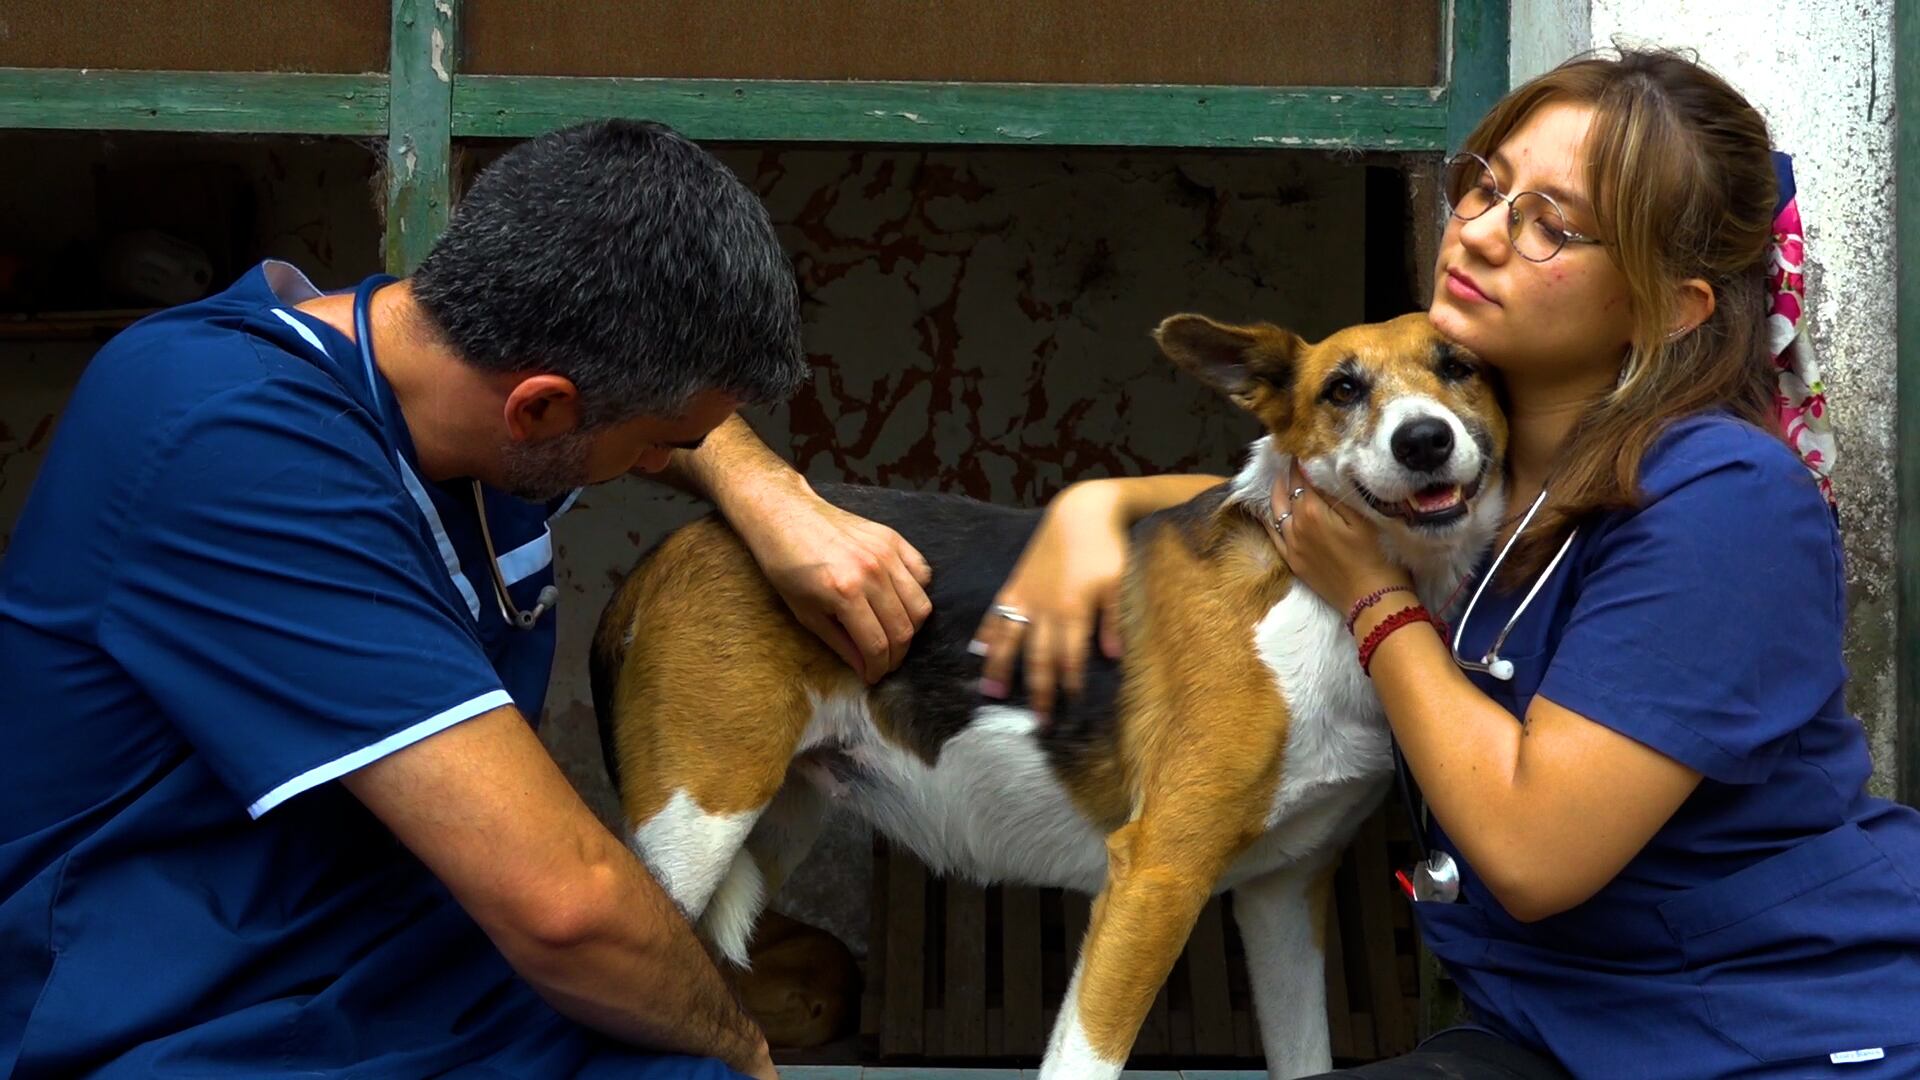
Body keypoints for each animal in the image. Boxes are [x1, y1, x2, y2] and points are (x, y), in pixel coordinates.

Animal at [591, 311, 1505, 1076]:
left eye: (1459, 366)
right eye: (1342, 390)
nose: (1424, 441)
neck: (1314, 593)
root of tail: (671, 548)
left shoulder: (1282, 894)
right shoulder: (1156, 875)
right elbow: (1083, 1061)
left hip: (769, 823)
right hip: (693, 828)